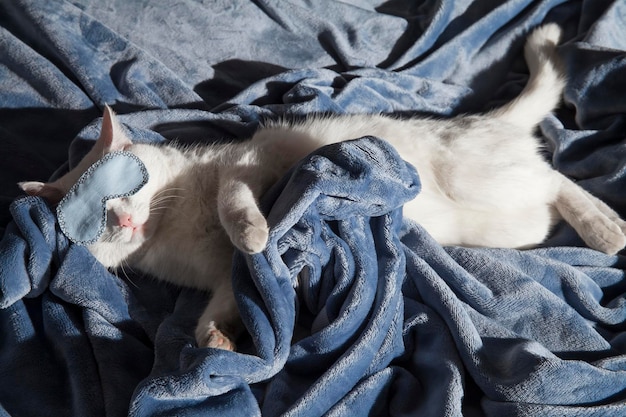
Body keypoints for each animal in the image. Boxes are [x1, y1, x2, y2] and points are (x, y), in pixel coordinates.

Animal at [17, 24, 624, 350]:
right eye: (93, 221)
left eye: (121, 187)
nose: (120, 219)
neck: (172, 229)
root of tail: (485, 121)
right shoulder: (217, 279)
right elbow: (216, 308)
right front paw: (216, 340)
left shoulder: (250, 162)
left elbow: (234, 203)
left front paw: (254, 233)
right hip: (512, 226)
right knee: (549, 193)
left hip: (485, 179)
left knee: (557, 176)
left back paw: (605, 229)